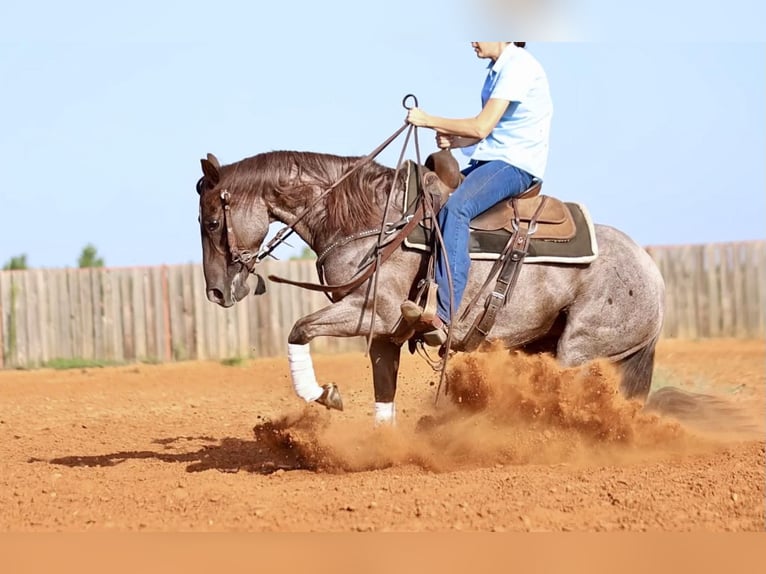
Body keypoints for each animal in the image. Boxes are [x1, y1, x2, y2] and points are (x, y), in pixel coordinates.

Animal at [196, 150, 664, 428]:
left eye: (212, 221)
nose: (216, 292)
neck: (373, 220)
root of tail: (653, 275)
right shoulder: (385, 332)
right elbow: (384, 387)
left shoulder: (373, 312)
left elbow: (299, 329)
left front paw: (324, 394)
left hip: (580, 350)